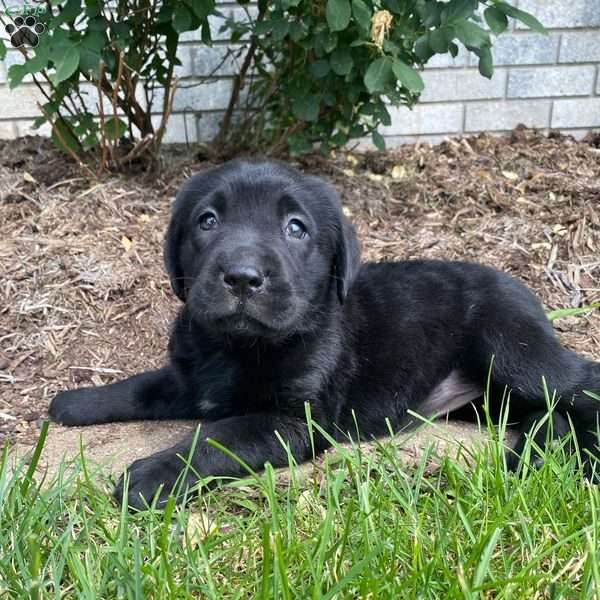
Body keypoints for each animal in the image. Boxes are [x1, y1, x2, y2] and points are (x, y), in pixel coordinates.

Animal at [48, 159, 600, 506]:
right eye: (206, 221)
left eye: (296, 228)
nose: (243, 277)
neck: (235, 346)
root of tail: (524, 290)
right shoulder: (189, 378)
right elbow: (142, 386)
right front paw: (75, 402)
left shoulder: (295, 421)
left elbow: (218, 438)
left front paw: (154, 475)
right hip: (489, 396)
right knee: (544, 412)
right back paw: (533, 454)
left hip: (513, 352)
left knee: (580, 385)